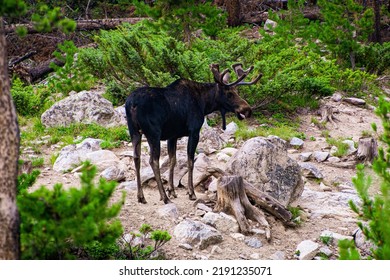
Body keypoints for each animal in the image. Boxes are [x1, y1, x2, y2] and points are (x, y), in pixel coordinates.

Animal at [125, 63, 262, 203]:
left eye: (237, 92)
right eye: (229, 93)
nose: (247, 110)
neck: (205, 104)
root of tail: (132, 104)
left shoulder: (172, 136)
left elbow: (172, 160)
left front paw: (172, 191)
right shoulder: (194, 131)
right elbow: (190, 161)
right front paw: (190, 192)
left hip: (134, 131)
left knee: (136, 157)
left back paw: (141, 196)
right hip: (153, 133)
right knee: (153, 161)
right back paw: (163, 197)